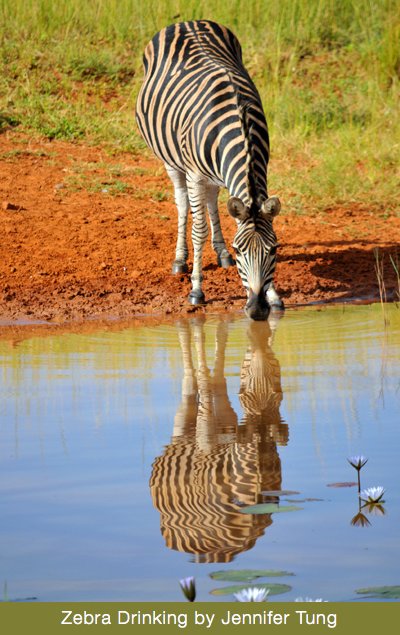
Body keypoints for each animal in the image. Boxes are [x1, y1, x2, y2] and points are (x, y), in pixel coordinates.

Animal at [135, 19, 282, 320]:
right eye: (240, 251)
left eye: (273, 250)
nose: (257, 310)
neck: (240, 123)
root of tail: (188, 21)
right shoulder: (194, 174)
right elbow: (198, 230)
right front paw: (196, 290)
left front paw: (274, 295)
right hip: (173, 162)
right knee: (183, 204)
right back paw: (180, 260)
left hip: (213, 174)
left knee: (213, 201)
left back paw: (220, 253)